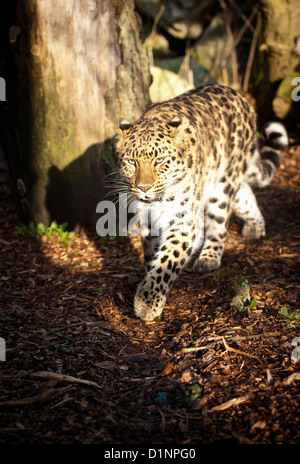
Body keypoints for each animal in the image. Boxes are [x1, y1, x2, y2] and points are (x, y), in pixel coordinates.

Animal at [115, 83, 288, 320]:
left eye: (159, 160)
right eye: (132, 162)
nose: (144, 188)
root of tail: (241, 97)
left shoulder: (184, 222)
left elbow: (167, 260)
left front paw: (148, 301)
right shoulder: (148, 220)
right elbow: (152, 253)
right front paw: (147, 279)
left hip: (222, 186)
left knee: (220, 223)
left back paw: (209, 257)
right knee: (245, 194)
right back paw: (256, 226)